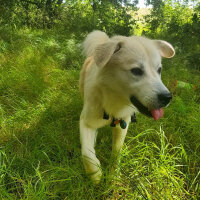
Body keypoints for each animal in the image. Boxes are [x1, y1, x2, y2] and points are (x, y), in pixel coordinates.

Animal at [79, 30, 174, 184]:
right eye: (136, 71)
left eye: (159, 70)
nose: (167, 97)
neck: (113, 99)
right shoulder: (86, 122)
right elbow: (87, 152)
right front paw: (95, 174)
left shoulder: (122, 125)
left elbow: (117, 152)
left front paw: (113, 175)